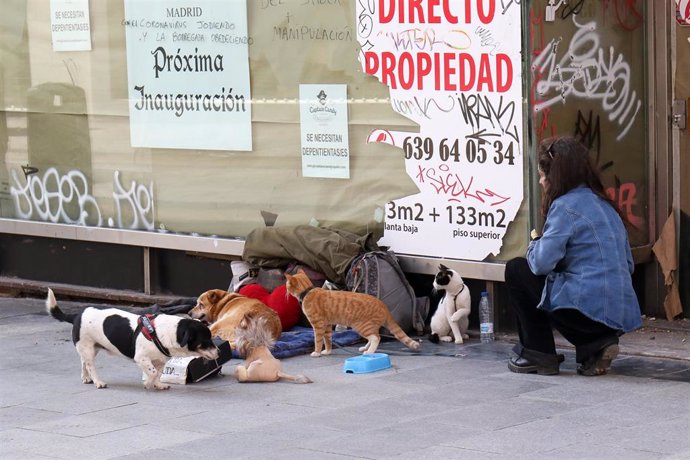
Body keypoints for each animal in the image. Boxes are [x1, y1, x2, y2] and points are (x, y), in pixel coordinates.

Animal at [46, 290, 218, 390]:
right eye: (206, 340)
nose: (219, 351)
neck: (166, 331)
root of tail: (77, 315)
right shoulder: (141, 358)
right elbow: (152, 372)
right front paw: (148, 383)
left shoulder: (160, 361)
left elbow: (158, 372)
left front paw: (157, 384)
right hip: (88, 348)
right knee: (90, 366)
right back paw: (98, 382)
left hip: (90, 348)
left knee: (83, 363)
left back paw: (86, 378)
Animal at [280, 272, 420, 358]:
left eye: (287, 285)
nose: (285, 290)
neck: (307, 292)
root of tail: (383, 305)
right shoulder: (327, 325)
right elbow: (328, 339)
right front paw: (328, 351)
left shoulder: (318, 325)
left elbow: (318, 341)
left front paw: (317, 352)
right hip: (367, 327)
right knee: (374, 336)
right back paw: (365, 348)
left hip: (361, 326)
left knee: (376, 338)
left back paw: (369, 352)